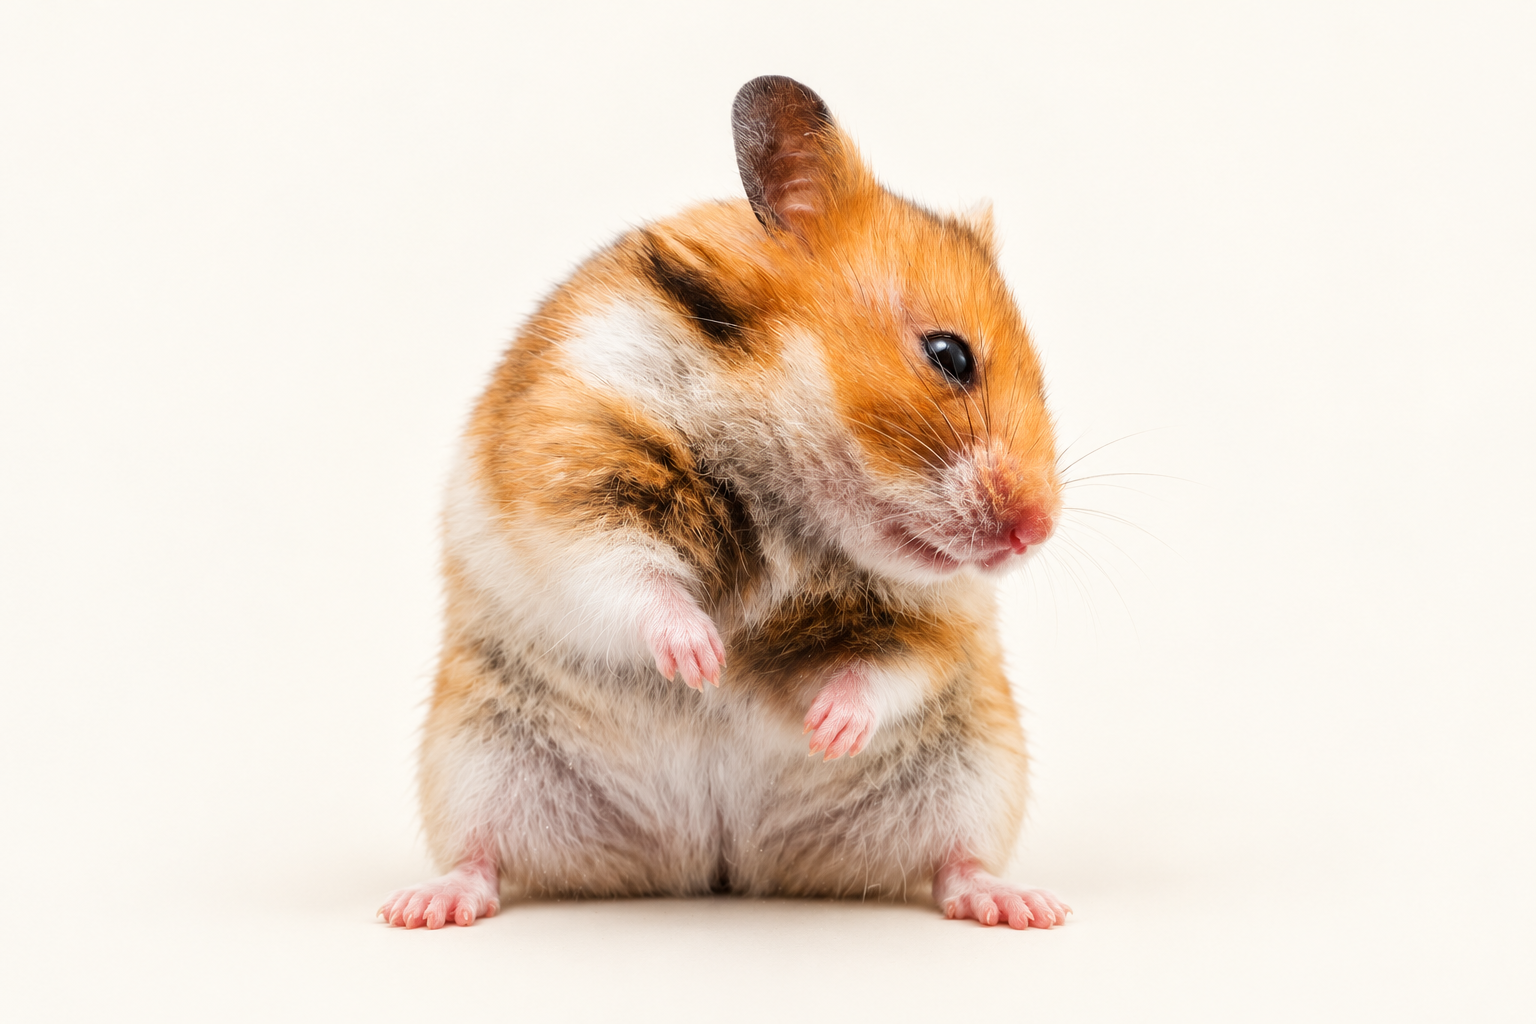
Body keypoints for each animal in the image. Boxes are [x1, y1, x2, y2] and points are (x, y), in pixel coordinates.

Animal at [378, 76, 1070, 931]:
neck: (792, 503)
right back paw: (423, 908)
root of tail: (718, 861)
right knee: (483, 856)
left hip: (977, 773)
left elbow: (888, 668)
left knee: (956, 861)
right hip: (473, 761)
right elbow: (628, 579)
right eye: (949, 355)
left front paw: (826, 731)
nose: (1040, 529)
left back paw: (1025, 907)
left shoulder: (939, 623)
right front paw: (704, 663)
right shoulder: (576, 472)